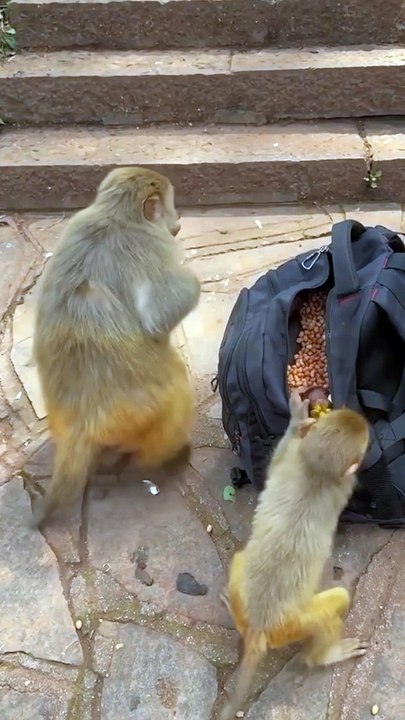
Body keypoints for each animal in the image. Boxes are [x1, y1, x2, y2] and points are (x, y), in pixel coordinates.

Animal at [32, 167, 200, 526]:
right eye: (169, 208)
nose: (177, 220)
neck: (116, 215)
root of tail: (80, 422)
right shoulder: (152, 245)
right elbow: (157, 317)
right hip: (141, 410)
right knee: (176, 385)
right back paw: (165, 457)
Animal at [219, 391, 370, 720]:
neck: (316, 472)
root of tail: (259, 627)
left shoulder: (292, 463)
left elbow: (275, 465)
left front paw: (296, 421)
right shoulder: (342, 486)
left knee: (240, 560)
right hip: (295, 623)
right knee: (334, 604)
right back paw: (325, 655)